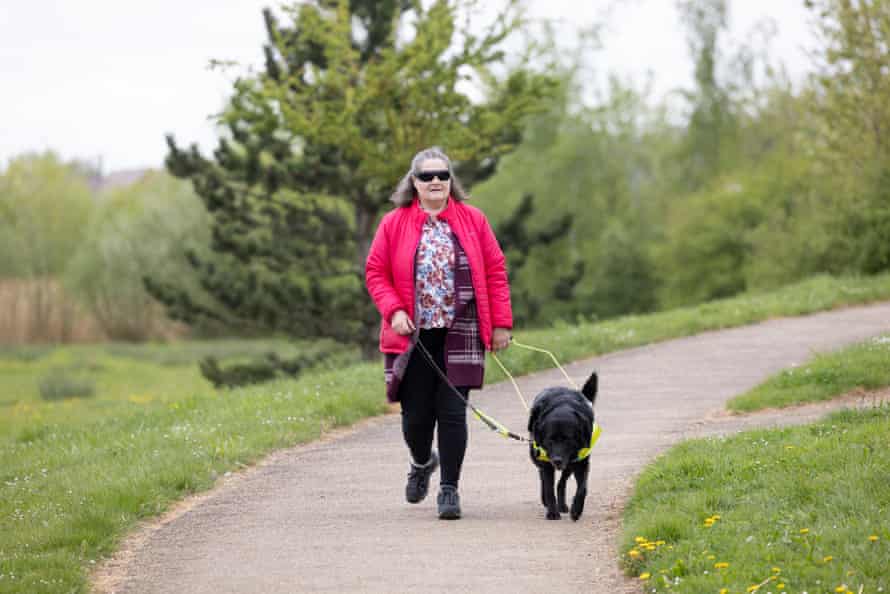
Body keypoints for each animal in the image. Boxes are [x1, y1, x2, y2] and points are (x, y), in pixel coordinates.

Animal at [528, 372, 596, 520]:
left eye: (568, 440)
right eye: (550, 440)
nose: (557, 460)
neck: (562, 408)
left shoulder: (582, 462)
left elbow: (582, 488)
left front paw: (576, 510)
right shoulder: (547, 462)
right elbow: (548, 488)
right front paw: (552, 512)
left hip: (570, 463)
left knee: (561, 483)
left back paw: (563, 505)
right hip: (538, 456)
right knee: (544, 478)